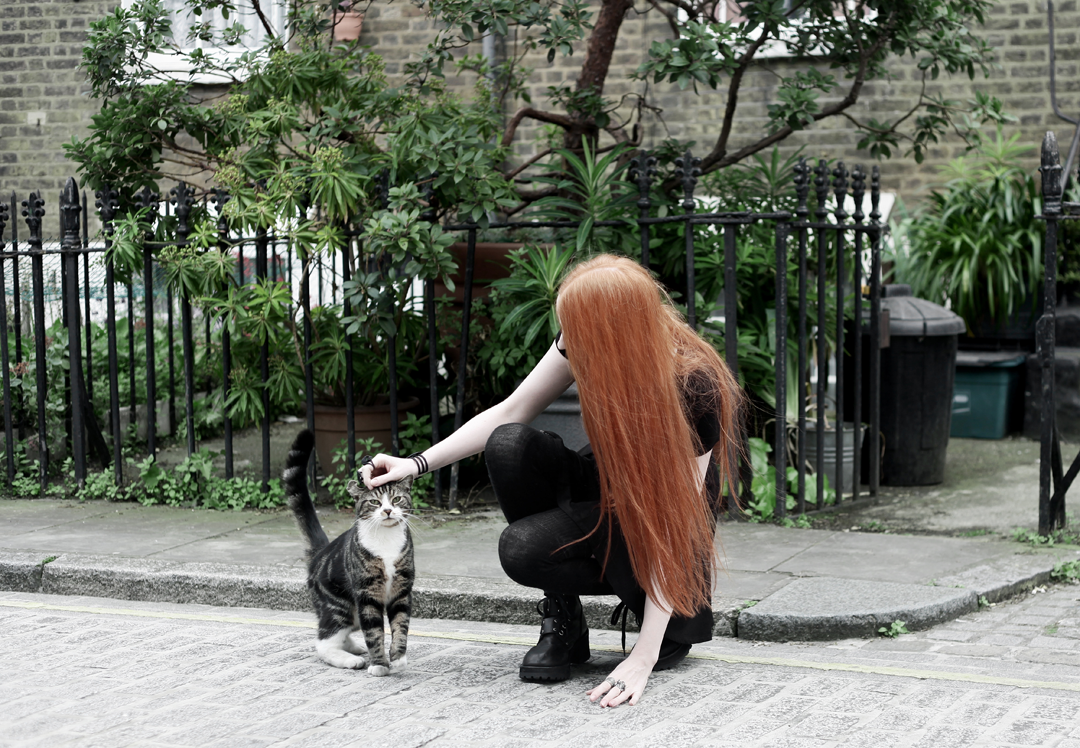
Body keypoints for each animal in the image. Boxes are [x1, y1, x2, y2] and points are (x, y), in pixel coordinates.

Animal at [282, 429, 412, 673]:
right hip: (339, 604)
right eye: (374, 502)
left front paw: (398, 657)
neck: (386, 539)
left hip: (350, 610)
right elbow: (374, 632)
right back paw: (350, 659)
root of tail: (322, 551)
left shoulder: (402, 591)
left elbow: (401, 626)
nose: (388, 510)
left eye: (397, 499)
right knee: (324, 640)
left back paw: (353, 647)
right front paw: (379, 665)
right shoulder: (367, 594)